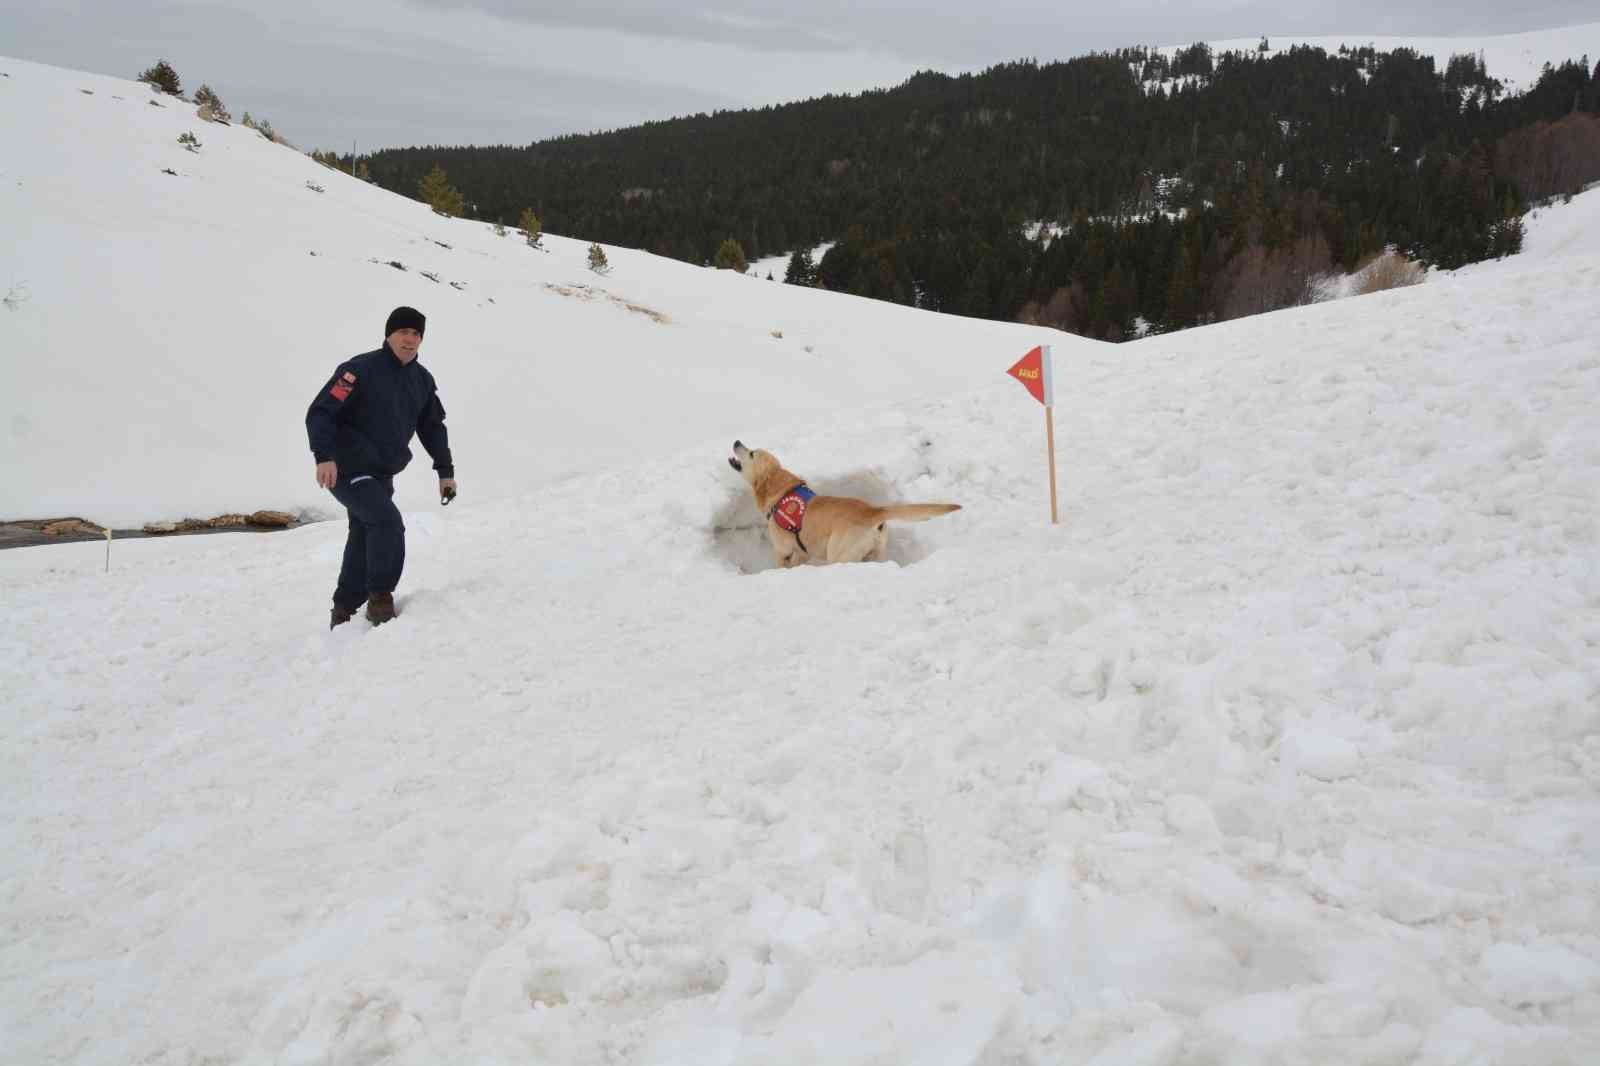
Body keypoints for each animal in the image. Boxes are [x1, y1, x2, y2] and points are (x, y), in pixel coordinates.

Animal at [729, 438, 960, 569]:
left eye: (752, 453)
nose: (737, 441)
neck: (781, 491)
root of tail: (873, 511)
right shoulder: (801, 551)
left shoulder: (782, 550)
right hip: (875, 554)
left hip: (838, 554)